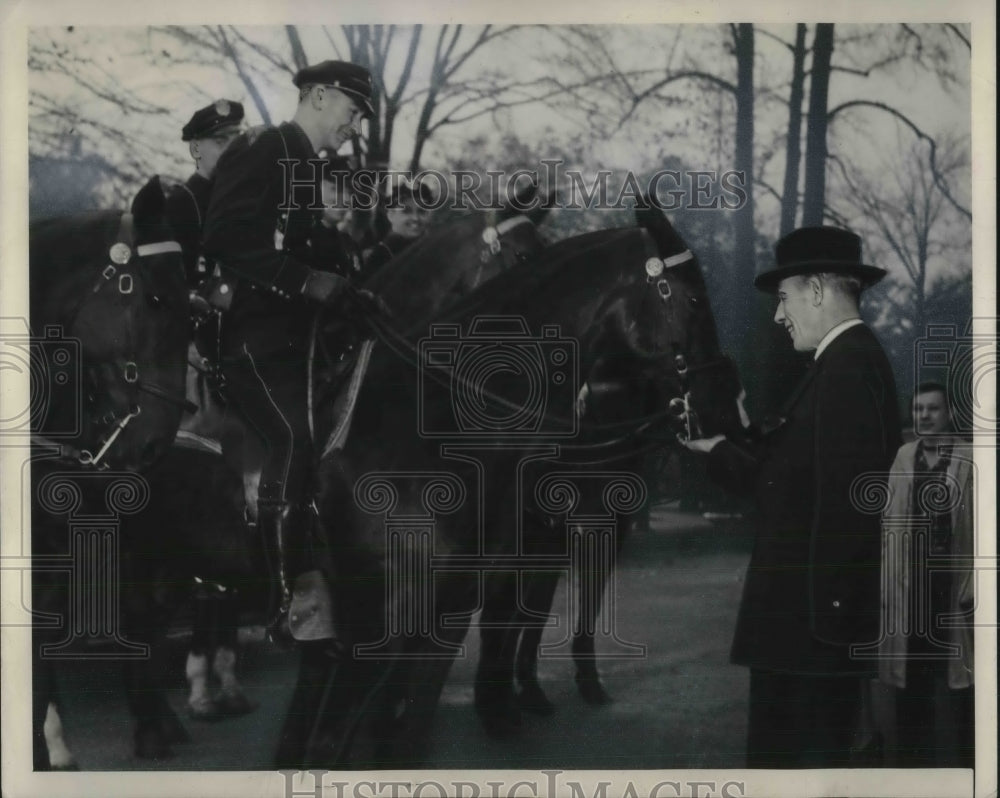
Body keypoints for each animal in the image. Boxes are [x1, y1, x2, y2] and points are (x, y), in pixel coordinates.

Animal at [278, 206, 740, 768]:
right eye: (694, 298)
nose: (727, 400)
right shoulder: (377, 631)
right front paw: (512, 701)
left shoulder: (455, 605)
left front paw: (522, 698)